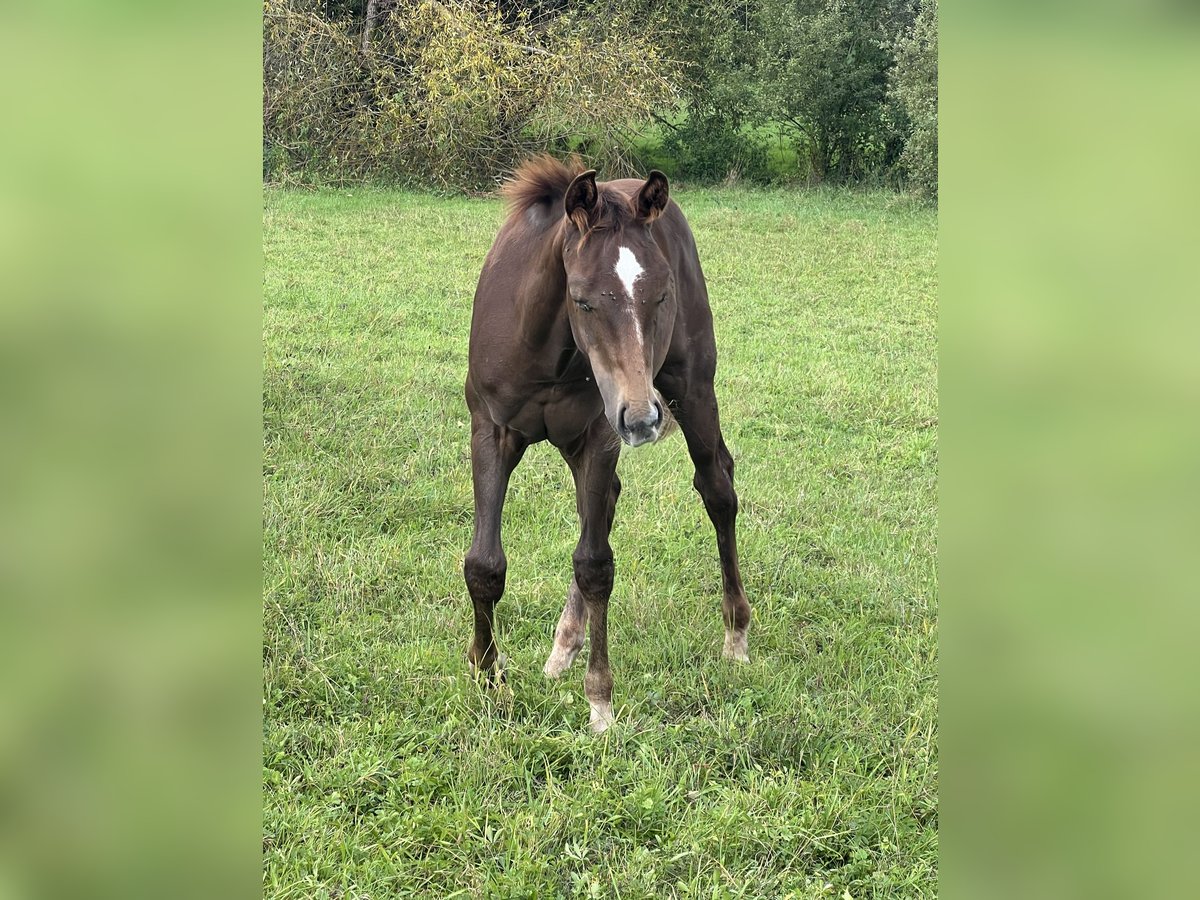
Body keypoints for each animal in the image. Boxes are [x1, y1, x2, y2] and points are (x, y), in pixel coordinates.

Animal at [464, 156, 751, 732]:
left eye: (661, 294)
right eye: (582, 299)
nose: (641, 419)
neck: (544, 347)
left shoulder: (598, 435)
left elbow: (595, 565)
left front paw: (600, 701)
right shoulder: (490, 430)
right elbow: (484, 564)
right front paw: (486, 676)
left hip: (691, 388)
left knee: (717, 487)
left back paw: (736, 634)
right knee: (607, 504)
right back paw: (562, 646)